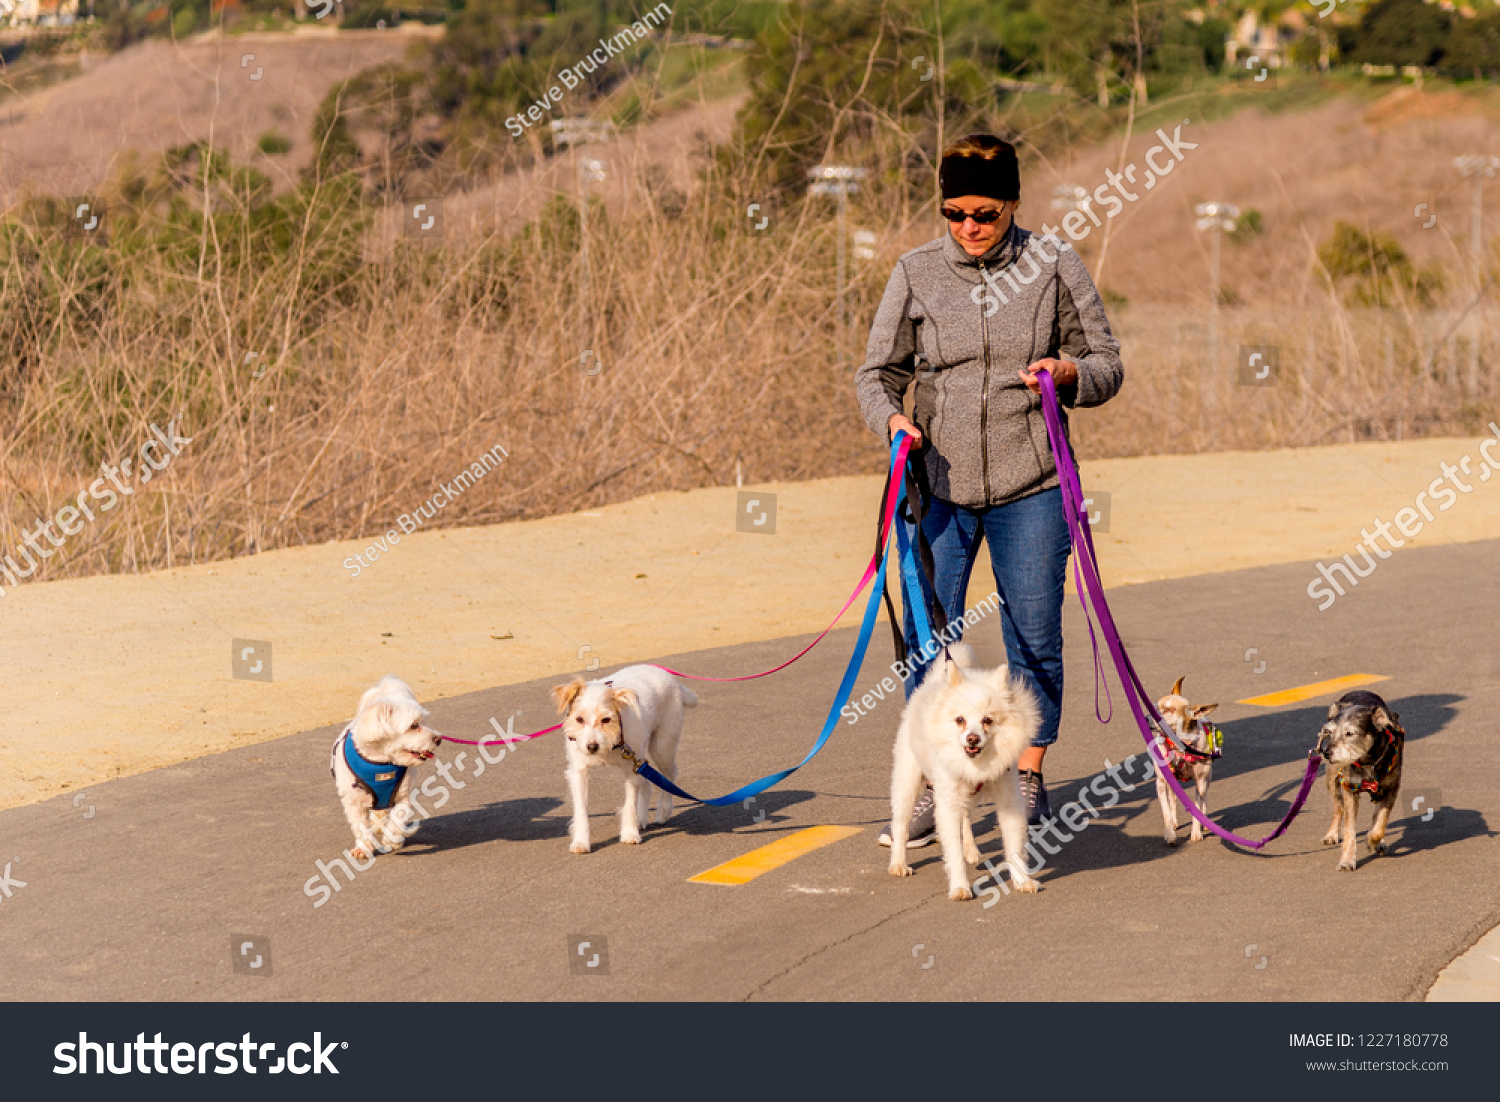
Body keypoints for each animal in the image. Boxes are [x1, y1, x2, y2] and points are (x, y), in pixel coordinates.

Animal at [331, 671, 441, 863]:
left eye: (423, 721)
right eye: (414, 725)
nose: (438, 739)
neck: (381, 763)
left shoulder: (403, 795)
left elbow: (397, 818)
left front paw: (393, 840)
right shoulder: (353, 801)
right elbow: (360, 827)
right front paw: (364, 848)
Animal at [552, 662, 696, 851]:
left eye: (606, 720)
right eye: (579, 719)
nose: (592, 747)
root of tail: (671, 678)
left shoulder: (630, 771)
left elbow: (629, 804)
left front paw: (629, 833)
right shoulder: (579, 771)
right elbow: (581, 809)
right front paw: (581, 841)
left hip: (662, 748)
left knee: (669, 776)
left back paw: (663, 811)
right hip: (642, 758)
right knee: (647, 784)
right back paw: (641, 818)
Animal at [882, 641, 1038, 899]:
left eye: (988, 720)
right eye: (960, 720)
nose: (972, 738)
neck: (975, 765)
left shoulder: (1009, 800)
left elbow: (1014, 844)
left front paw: (1022, 880)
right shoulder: (947, 803)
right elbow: (952, 851)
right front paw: (960, 887)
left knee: (965, 818)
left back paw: (971, 850)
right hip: (907, 781)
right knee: (901, 824)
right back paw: (898, 864)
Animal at [1320, 692, 1398, 875]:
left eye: (1349, 733)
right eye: (1330, 732)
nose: (1326, 753)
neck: (1367, 761)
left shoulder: (1391, 788)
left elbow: (1381, 820)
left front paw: (1373, 841)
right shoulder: (1349, 789)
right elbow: (1349, 830)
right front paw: (1347, 861)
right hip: (1332, 780)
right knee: (1338, 807)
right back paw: (1331, 835)